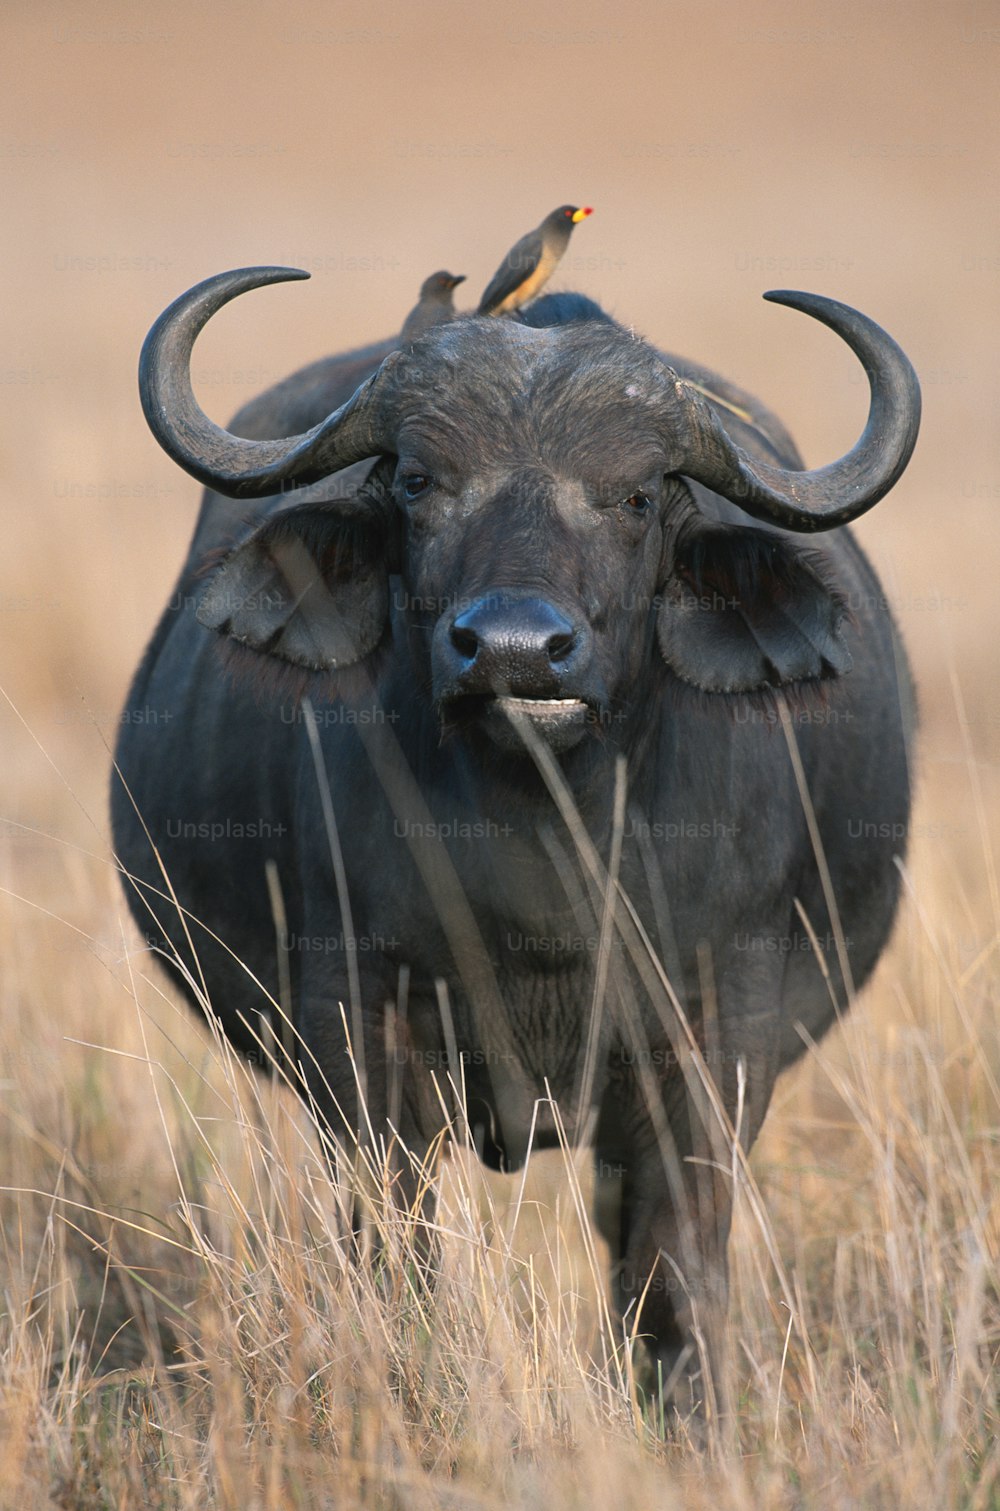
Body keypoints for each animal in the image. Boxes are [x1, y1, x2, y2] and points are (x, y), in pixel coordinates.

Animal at [113, 262, 918, 1402]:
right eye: (417, 481)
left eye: (637, 496)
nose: (513, 647)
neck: (544, 861)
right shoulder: (355, 1019)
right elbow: (391, 1242)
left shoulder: (719, 1033)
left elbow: (673, 1266)